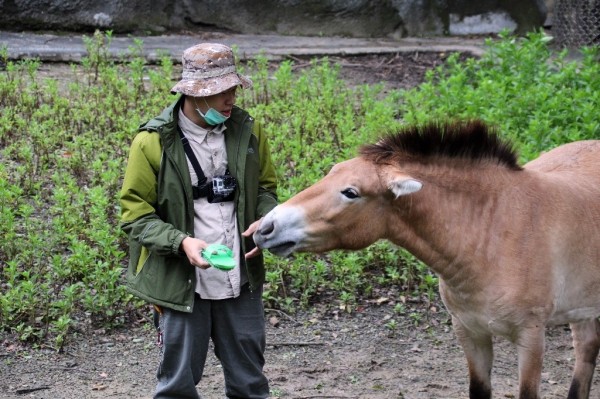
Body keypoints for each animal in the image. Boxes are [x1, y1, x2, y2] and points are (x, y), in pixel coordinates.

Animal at [253, 121, 600, 399]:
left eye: (351, 192)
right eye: (330, 173)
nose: (265, 228)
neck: (493, 231)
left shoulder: (531, 338)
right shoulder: (470, 333)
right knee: (587, 350)